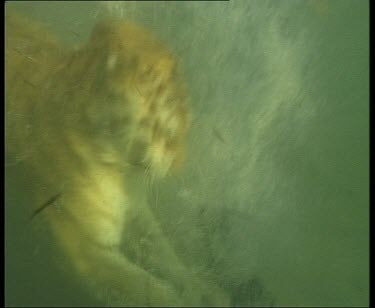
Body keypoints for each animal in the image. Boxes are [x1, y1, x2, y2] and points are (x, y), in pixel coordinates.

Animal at [5, 9, 234, 306]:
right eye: (170, 124)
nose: (178, 164)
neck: (120, 169)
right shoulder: (87, 249)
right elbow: (155, 290)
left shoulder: (137, 212)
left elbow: (168, 257)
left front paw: (206, 291)